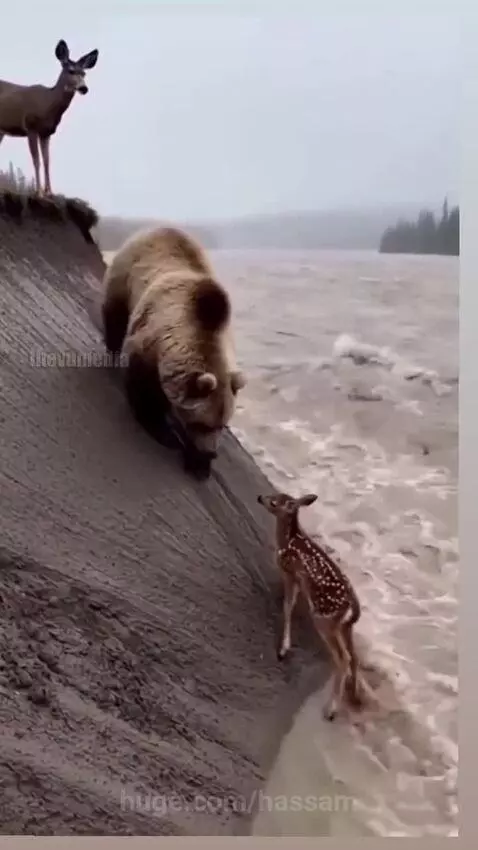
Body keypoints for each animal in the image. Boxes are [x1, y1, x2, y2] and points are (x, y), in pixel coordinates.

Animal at [0, 39, 99, 196]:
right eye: (71, 71)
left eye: (84, 73)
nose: (84, 88)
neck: (47, 104)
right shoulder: (31, 126)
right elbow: (37, 160)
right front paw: (39, 192)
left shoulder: (46, 133)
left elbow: (47, 161)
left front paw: (50, 192)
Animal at [100, 225, 246, 478]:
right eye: (203, 424)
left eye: (223, 424)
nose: (211, 452)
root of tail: (158, 227)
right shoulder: (149, 345)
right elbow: (145, 393)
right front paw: (163, 432)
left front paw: (199, 463)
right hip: (125, 274)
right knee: (115, 314)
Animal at [258, 491, 373, 721]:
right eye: (272, 495)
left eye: (274, 501)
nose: (259, 497)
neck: (288, 540)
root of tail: (352, 602)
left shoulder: (290, 574)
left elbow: (288, 605)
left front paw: (283, 648)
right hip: (344, 625)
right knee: (354, 656)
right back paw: (354, 693)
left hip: (324, 619)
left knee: (343, 658)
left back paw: (332, 709)